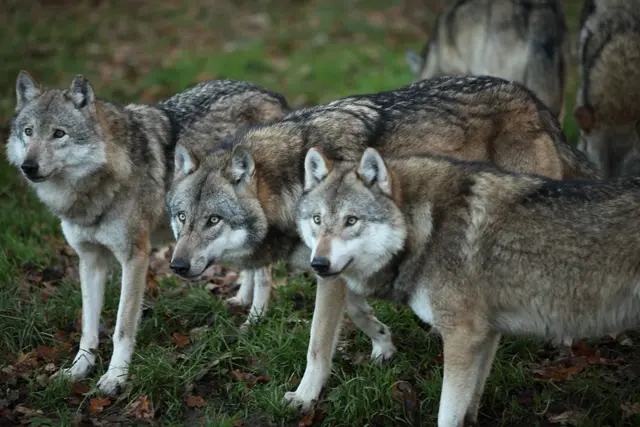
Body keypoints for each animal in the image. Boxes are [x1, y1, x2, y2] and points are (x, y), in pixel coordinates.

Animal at [5, 71, 289, 395]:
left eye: (59, 134)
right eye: (28, 132)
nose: (28, 166)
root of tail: (271, 93)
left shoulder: (135, 258)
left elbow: (122, 327)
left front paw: (115, 378)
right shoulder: (90, 260)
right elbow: (88, 327)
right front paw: (79, 369)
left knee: (265, 275)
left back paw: (254, 320)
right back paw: (241, 299)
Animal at [165, 75, 599, 408]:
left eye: (213, 220)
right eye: (182, 217)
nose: (177, 266)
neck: (290, 180)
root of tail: (535, 102)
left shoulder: (329, 272)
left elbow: (317, 343)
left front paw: (305, 397)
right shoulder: (337, 267)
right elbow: (358, 311)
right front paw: (383, 345)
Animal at [298, 146, 640, 426]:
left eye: (351, 221)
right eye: (317, 220)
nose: (319, 264)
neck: (426, 227)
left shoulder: (461, 336)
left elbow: (446, 414)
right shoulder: (485, 335)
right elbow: (470, 405)